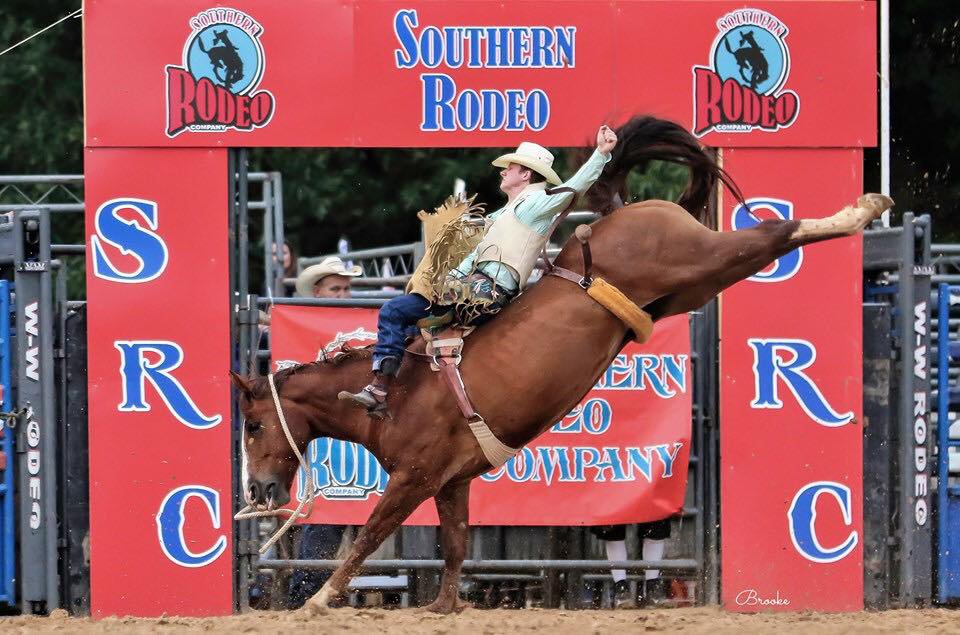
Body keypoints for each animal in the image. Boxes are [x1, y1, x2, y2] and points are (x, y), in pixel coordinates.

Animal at [231, 115, 892, 616]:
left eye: (254, 424)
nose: (260, 492)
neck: (402, 390)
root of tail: (630, 212)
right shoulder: (452, 481)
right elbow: (454, 545)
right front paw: (443, 606)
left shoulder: (414, 477)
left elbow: (368, 534)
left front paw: (319, 600)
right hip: (692, 287)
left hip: (699, 258)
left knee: (776, 232)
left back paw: (863, 208)